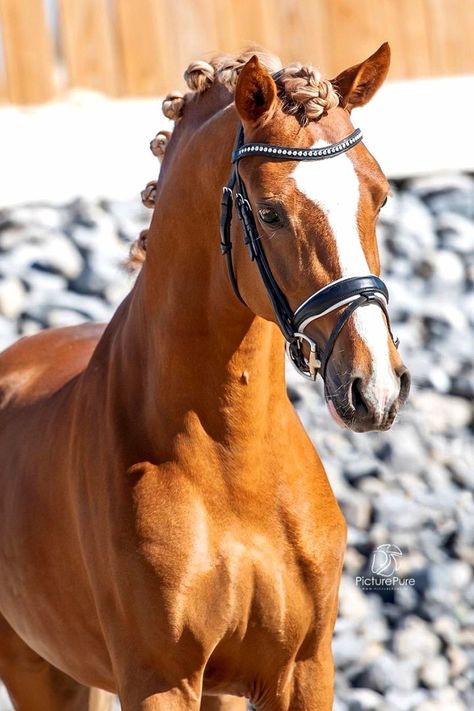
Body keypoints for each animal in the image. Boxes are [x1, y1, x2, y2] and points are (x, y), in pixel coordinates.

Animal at [0, 46, 408, 711]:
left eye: (379, 197)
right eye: (269, 212)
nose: (374, 389)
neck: (230, 460)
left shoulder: (303, 668)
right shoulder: (158, 679)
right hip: (36, 669)